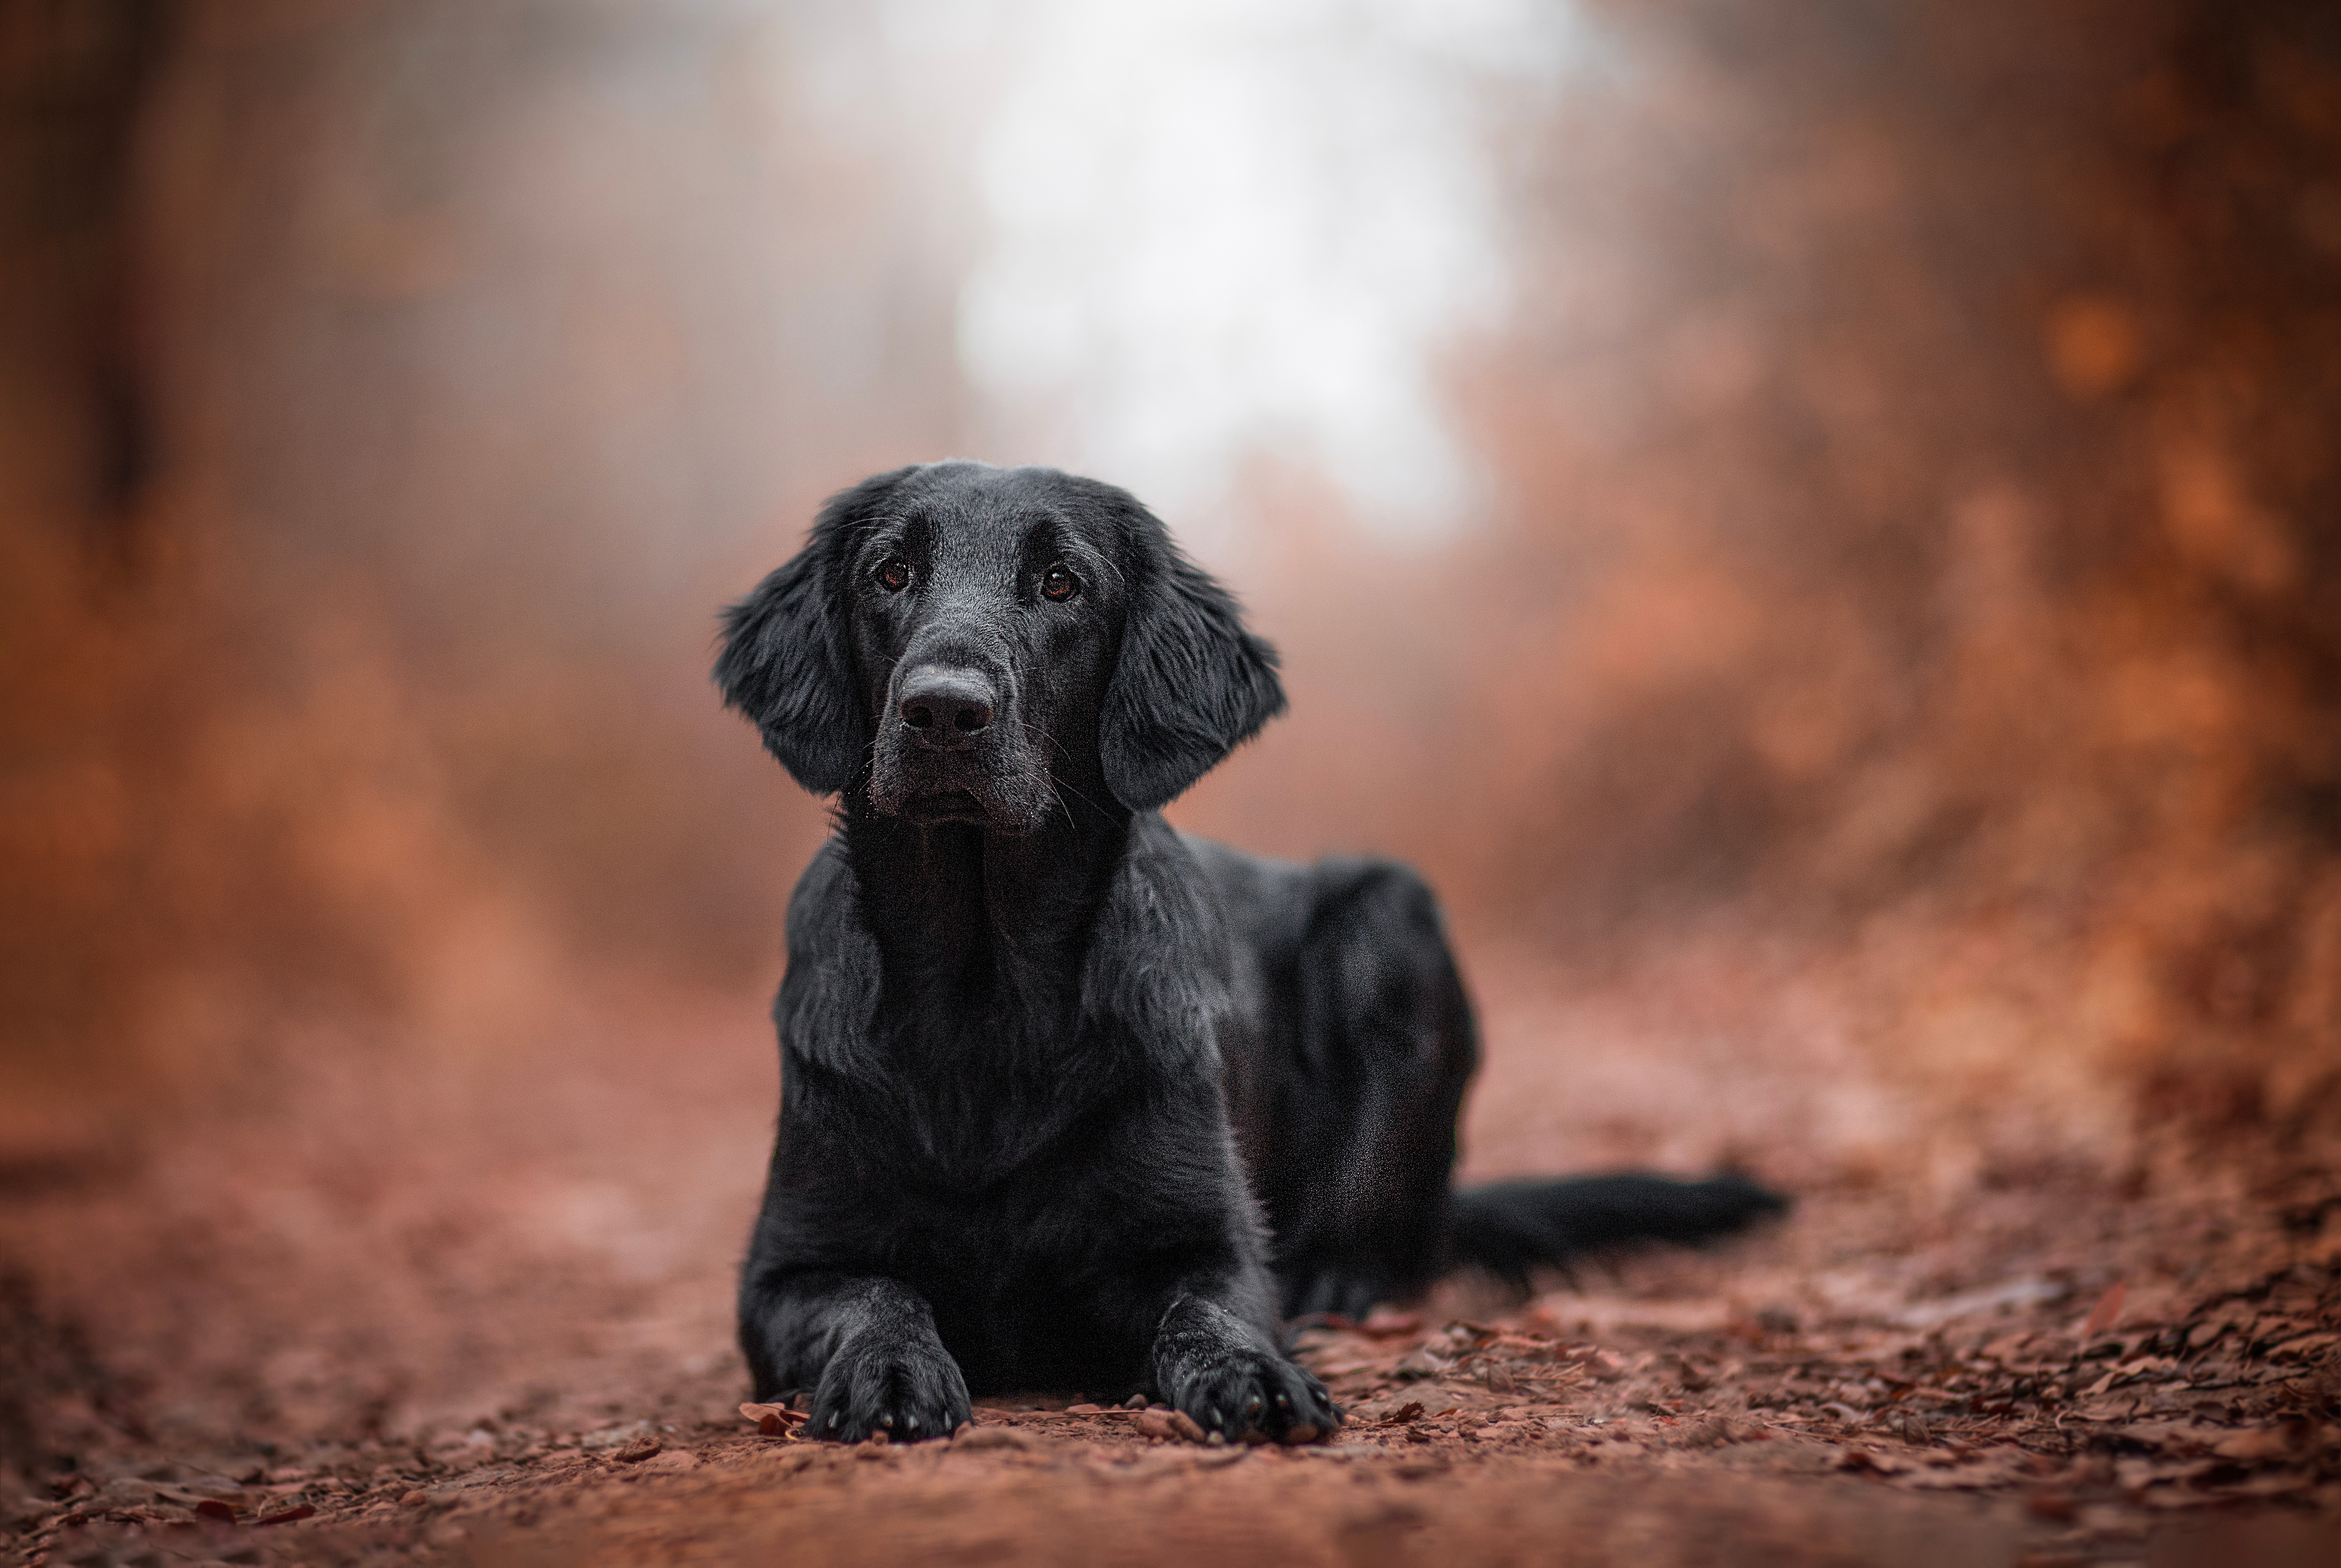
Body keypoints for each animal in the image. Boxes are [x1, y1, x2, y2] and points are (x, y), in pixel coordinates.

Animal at [707, 461, 1769, 1442]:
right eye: (889, 573)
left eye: (1061, 583)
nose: (942, 709)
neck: (985, 997)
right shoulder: (786, 1270)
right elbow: (875, 1296)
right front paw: (890, 1372)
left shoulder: (1210, 1241)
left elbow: (1209, 1310)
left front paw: (1254, 1374)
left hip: (1388, 917)